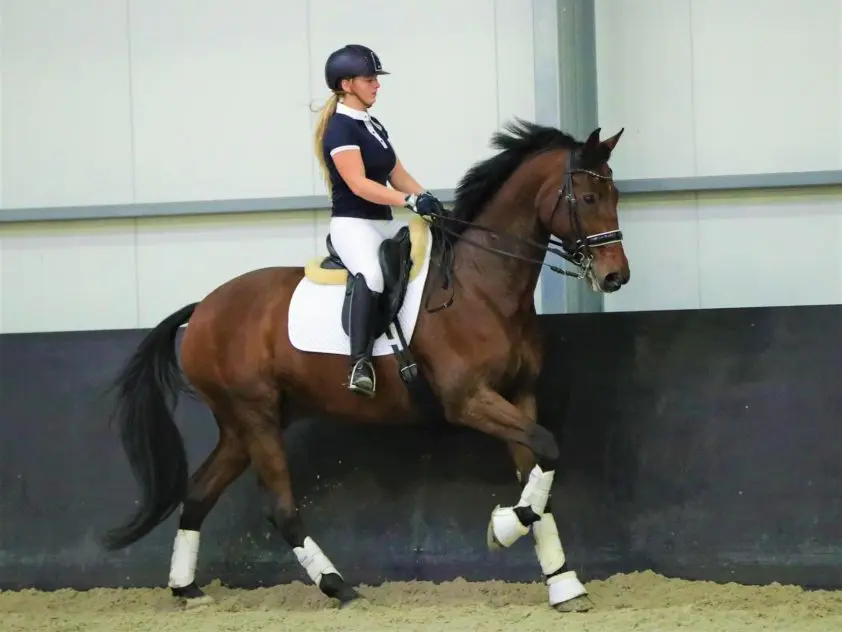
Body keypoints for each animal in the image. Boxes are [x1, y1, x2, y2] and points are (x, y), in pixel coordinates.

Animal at [101, 118, 629, 613]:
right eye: (587, 196)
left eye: (615, 194)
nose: (615, 277)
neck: (482, 284)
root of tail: (204, 308)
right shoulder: (468, 400)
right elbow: (547, 450)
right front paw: (502, 529)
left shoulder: (520, 395)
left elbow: (540, 472)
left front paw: (563, 583)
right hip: (256, 417)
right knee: (281, 508)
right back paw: (338, 586)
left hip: (243, 425)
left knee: (198, 493)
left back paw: (187, 588)